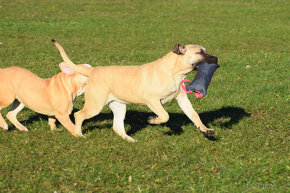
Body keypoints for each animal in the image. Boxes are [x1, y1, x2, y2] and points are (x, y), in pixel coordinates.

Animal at [53, 39, 219, 142]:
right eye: (200, 53)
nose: (216, 58)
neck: (174, 71)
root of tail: (93, 71)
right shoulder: (153, 100)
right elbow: (165, 116)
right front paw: (153, 120)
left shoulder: (182, 99)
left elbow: (194, 115)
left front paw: (206, 130)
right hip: (95, 105)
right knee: (79, 115)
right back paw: (79, 135)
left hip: (119, 106)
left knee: (117, 127)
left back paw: (130, 140)